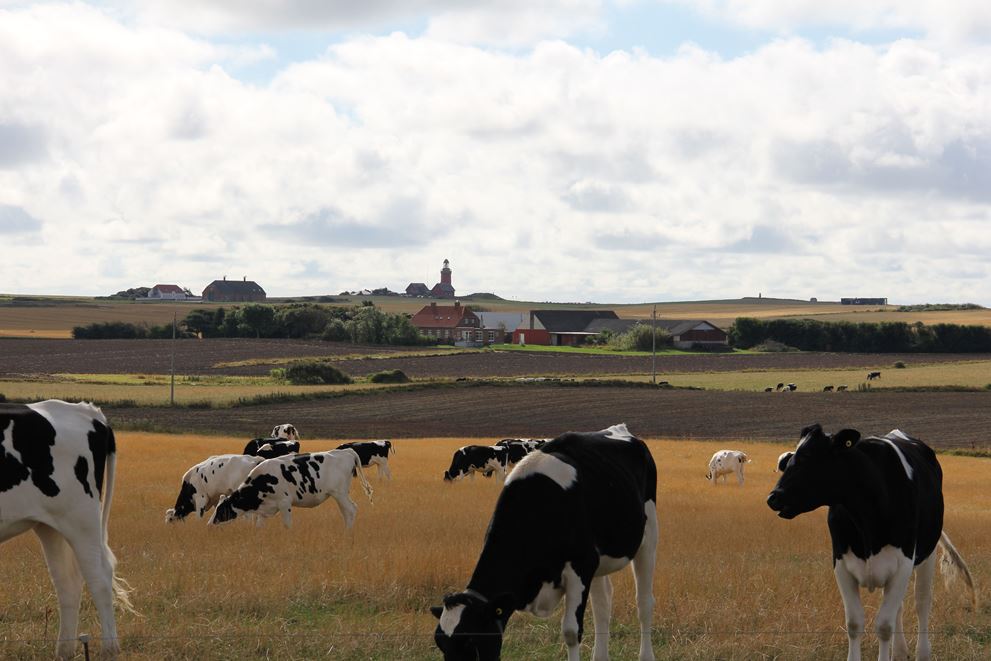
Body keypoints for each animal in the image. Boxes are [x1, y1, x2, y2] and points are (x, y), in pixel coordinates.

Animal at [0, 400, 134, 656]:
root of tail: (88, 411)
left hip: (81, 519)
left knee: (99, 577)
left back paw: (109, 648)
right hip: (50, 524)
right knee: (67, 582)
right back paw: (64, 651)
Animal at [207, 446, 374, 528]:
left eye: (221, 510)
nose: (209, 525)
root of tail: (346, 452)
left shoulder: (284, 503)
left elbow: (287, 525)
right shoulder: (264, 510)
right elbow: (259, 527)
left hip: (339, 493)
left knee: (351, 510)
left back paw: (348, 532)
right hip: (340, 494)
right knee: (346, 512)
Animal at [432, 422, 660, 660]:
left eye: (471, 641)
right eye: (440, 644)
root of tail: (620, 428)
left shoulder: (580, 566)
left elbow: (571, 631)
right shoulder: (589, 563)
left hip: (649, 534)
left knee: (644, 603)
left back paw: (646, 654)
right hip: (600, 559)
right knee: (603, 604)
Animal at [768, 422, 976, 660]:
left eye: (809, 457)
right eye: (789, 461)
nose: (773, 497)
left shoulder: (903, 564)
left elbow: (884, 626)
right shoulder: (841, 565)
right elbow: (854, 623)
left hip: (927, 553)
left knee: (922, 602)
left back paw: (922, 652)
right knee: (900, 608)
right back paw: (900, 652)